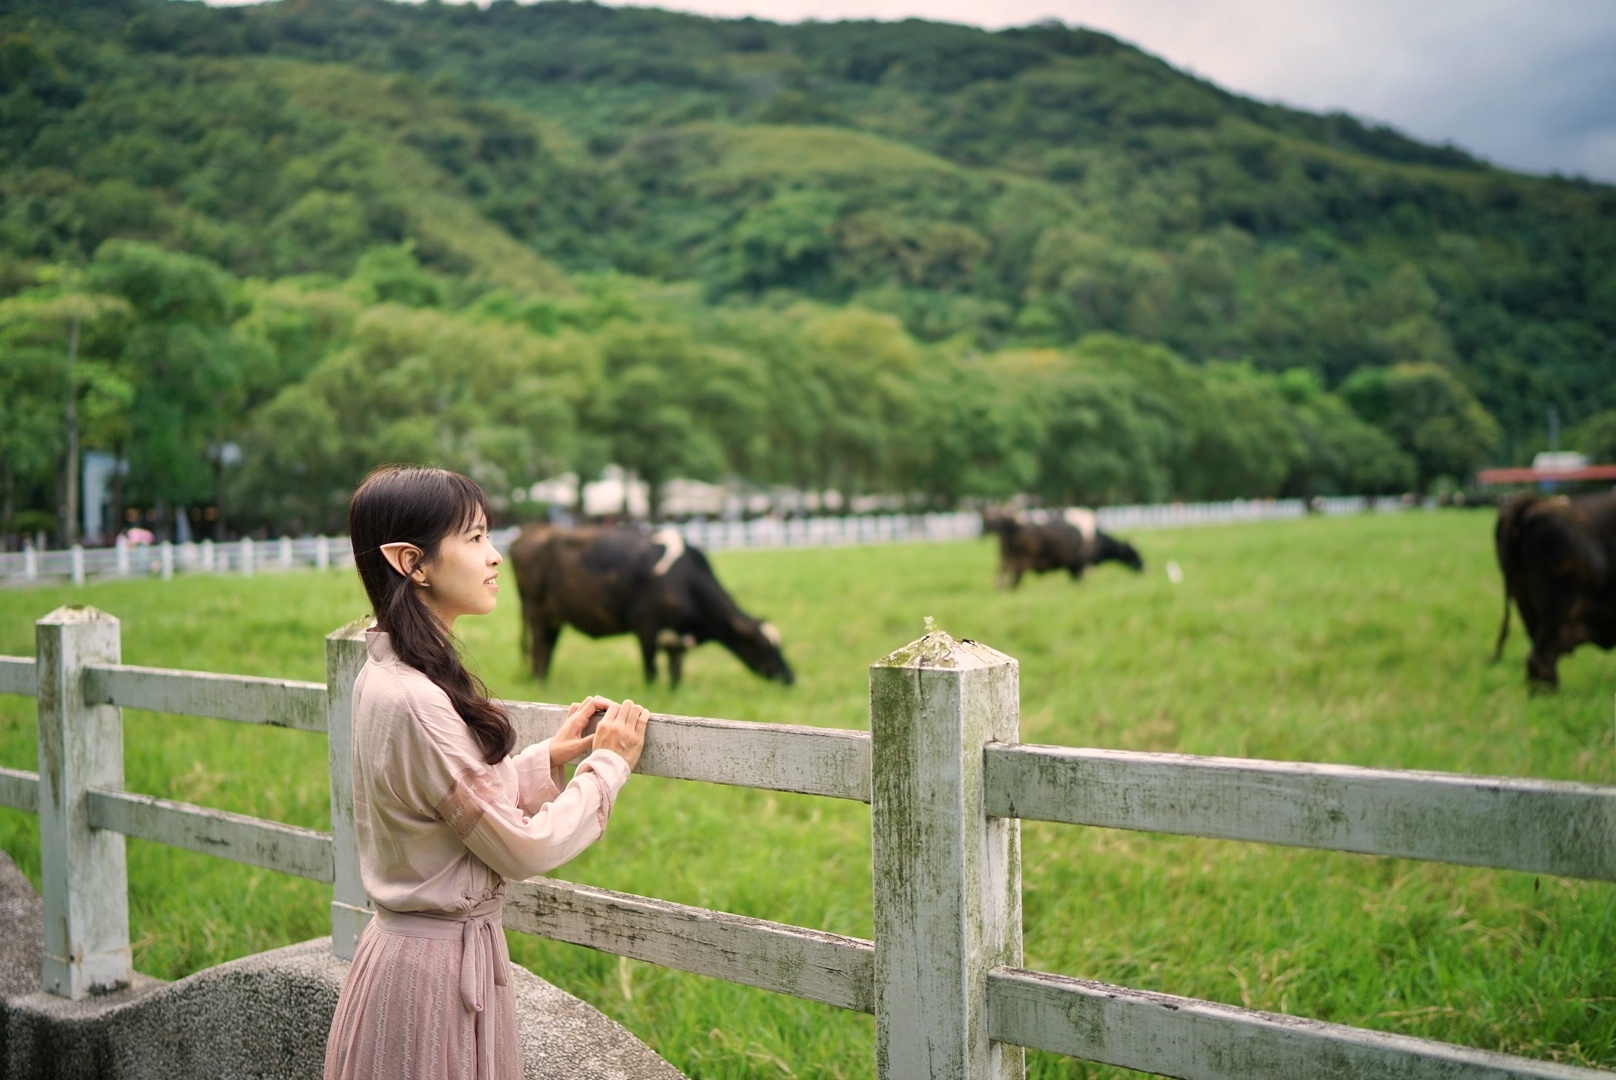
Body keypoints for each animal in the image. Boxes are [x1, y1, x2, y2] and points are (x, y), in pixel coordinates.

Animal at [507, 523, 791, 691]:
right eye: (764, 646)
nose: (790, 677)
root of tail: (532, 530)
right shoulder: (646, 627)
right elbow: (651, 671)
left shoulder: (676, 640)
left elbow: (676, 674)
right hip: (537, 613)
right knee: (540, 649)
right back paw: (542, 686)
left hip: (554, 617)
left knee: (545, 650)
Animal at [976, 507, 1144, 591]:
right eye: (1134, 554)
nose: (1145, 568)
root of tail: (1010, 520)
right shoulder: (1080, 566)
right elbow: (1079, 584)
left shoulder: (1074, 567)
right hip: (1020, 562)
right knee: (1012, 583)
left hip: (1006, 558)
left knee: (1001, 577)